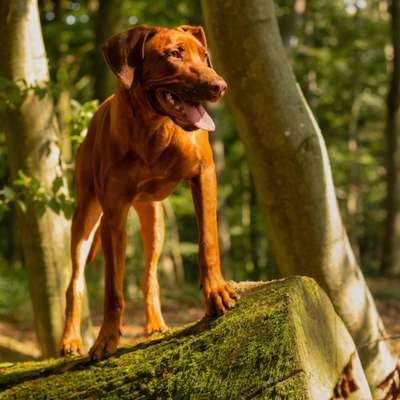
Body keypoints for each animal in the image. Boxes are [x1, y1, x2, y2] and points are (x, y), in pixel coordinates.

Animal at [59, 24, 238, 360]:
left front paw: (216, 292)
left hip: (154, 221)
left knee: (149, 276)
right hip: (86, 216)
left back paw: (156, 324)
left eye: (204, 55)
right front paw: (106, 337)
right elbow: (112, 288)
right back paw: (71, 339)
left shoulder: (204, 174)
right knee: (74, 281)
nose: (220, 86)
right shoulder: (114, 214)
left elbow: (208, 242)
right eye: (174, 54)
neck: (153, 127)